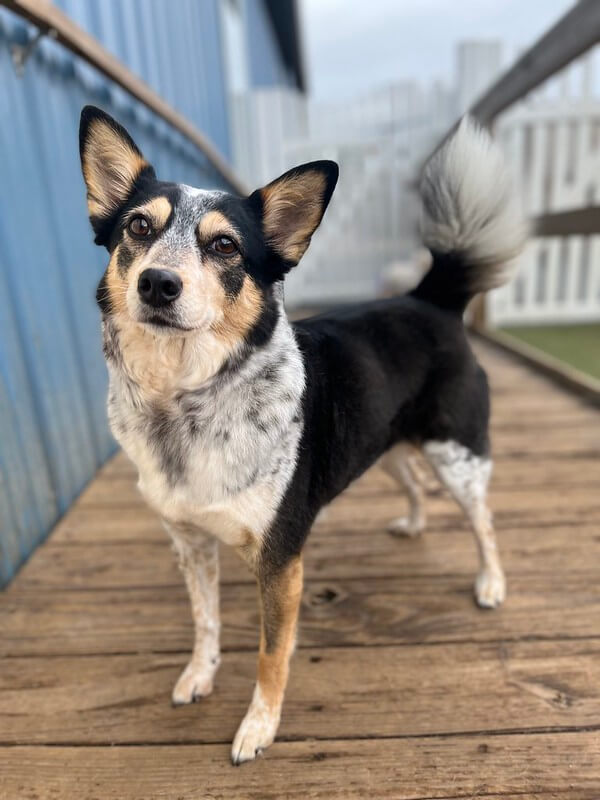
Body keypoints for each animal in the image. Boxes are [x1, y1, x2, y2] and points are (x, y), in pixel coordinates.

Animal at [78, 106, 524, 764]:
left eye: (225, 245)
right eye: (138, 226)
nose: (157, 283)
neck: (184, 401)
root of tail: (431, 301)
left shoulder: (280, 562)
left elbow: (271, 653)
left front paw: (258, 727)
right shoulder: (189, 541)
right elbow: (205, 619)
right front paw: (199, 674)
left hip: (457, 453)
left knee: (484, 520)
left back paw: (491, 582)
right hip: (381, 441)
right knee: (413, 480)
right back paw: (414, 523)